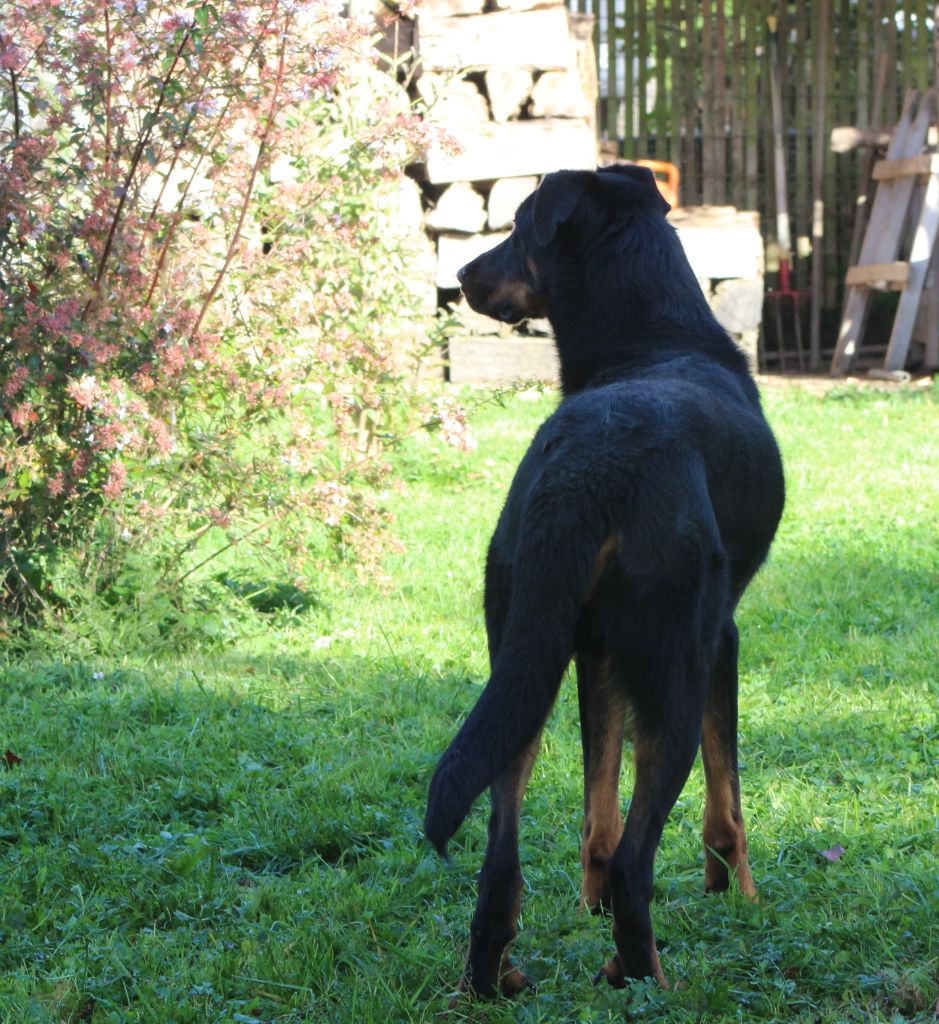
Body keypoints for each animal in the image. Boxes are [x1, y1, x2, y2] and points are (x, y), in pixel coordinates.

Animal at [425, 167, 782, 999]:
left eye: (517, 227)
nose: (462, 275)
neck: (652, 339)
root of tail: (587, 473)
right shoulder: (720, 640)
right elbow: (726, 804)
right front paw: (738, 896)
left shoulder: (592, 656)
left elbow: (595, 804)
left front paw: (584, 906)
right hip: (671, 671)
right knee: (634, 861)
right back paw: (645, 976)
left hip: (523, 664)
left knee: (501, 860)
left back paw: (492, 979)